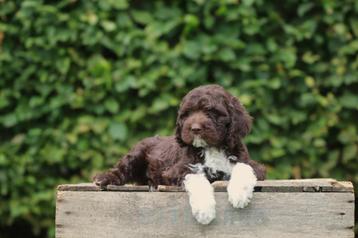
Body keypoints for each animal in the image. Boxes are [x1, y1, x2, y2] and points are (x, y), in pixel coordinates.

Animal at [92, 84, 266, 225]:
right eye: (187, 114)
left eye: (211, 112)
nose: (195, 128)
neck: (212, 148)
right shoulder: (178, 170)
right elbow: (197, 178)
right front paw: (205, 211)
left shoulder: (250, 162)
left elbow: (244, 168)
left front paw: (239, 194)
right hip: (137, 153)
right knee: (122, 169)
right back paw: (103, 178)